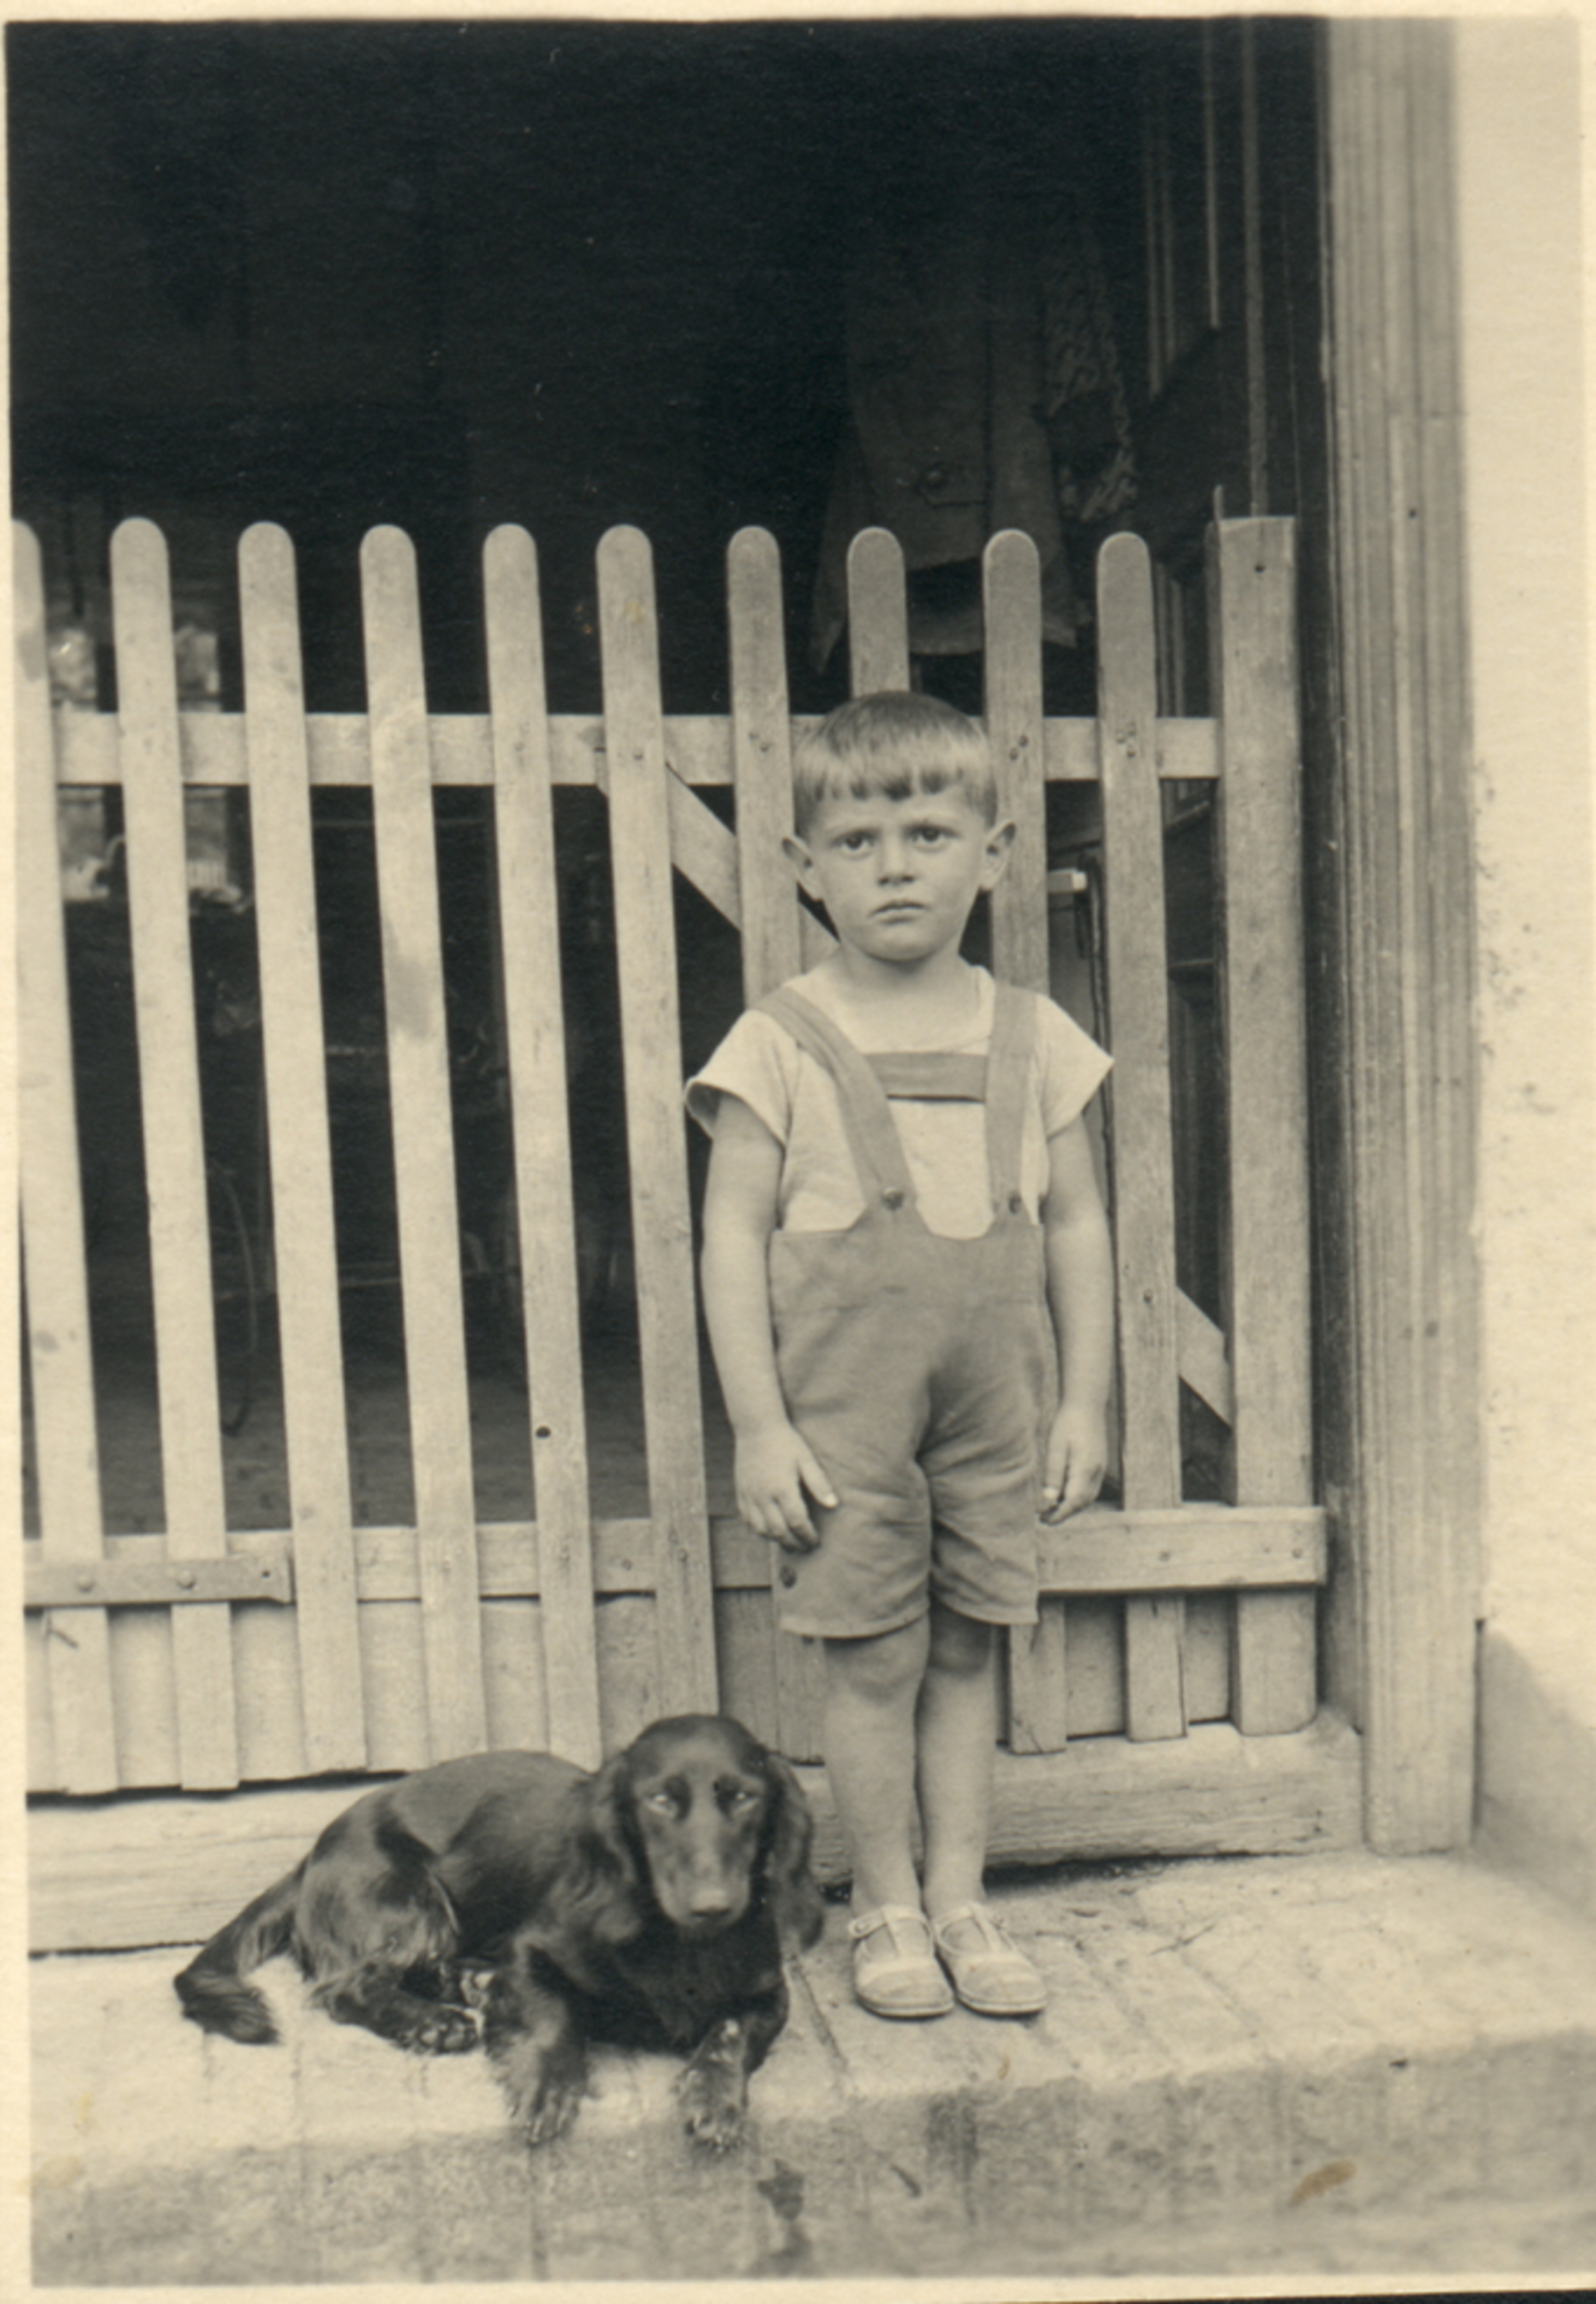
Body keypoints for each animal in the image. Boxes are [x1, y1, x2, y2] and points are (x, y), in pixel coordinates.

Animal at [175, 1713, 825, 2149]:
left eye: (744, 1797)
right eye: (660, 1800)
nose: (712, 1905)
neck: (678, 1945)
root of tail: (313, 1854)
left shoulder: (769, 1991)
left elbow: (731, 2031)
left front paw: (714, 2095)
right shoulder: (530, 1950)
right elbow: (553, 2018)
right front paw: (547, 2086)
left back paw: (471, 1988)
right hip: (412, 1903)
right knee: (349, 1986)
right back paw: (434, 2021)